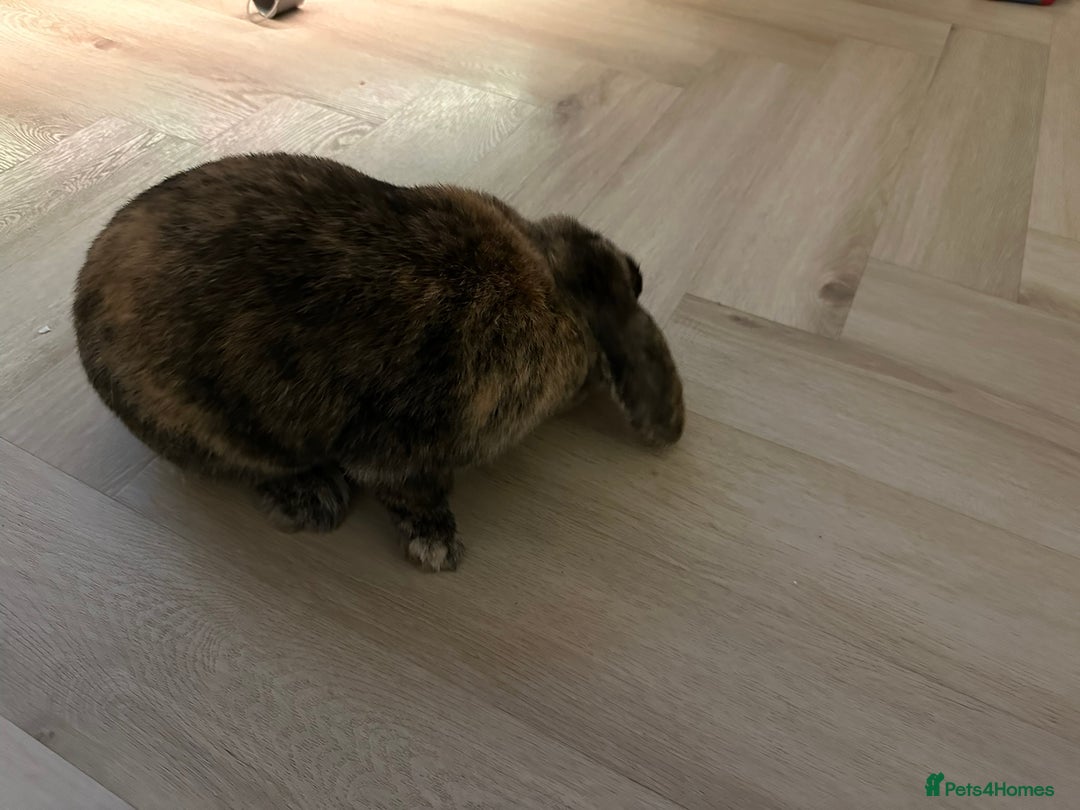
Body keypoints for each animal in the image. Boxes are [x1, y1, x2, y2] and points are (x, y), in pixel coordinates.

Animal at [73, 153, 684, 571]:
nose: (637, 272)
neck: (552, 285)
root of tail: (82, 303)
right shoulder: (402, 446)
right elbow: (410, 490)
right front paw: (437, 544)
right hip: (211, 431)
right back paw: (311, 497)